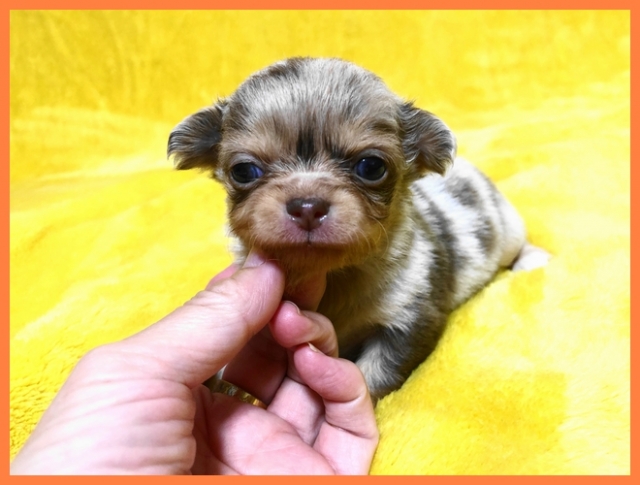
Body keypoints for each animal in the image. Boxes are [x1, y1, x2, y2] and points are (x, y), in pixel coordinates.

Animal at [168, 57, 548, 400]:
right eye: (244, 171)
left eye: (371, 166)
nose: (307, 206)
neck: (335, 276)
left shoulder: (409, 318)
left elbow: (371, 374)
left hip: (508, 229)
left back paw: (532, 260)